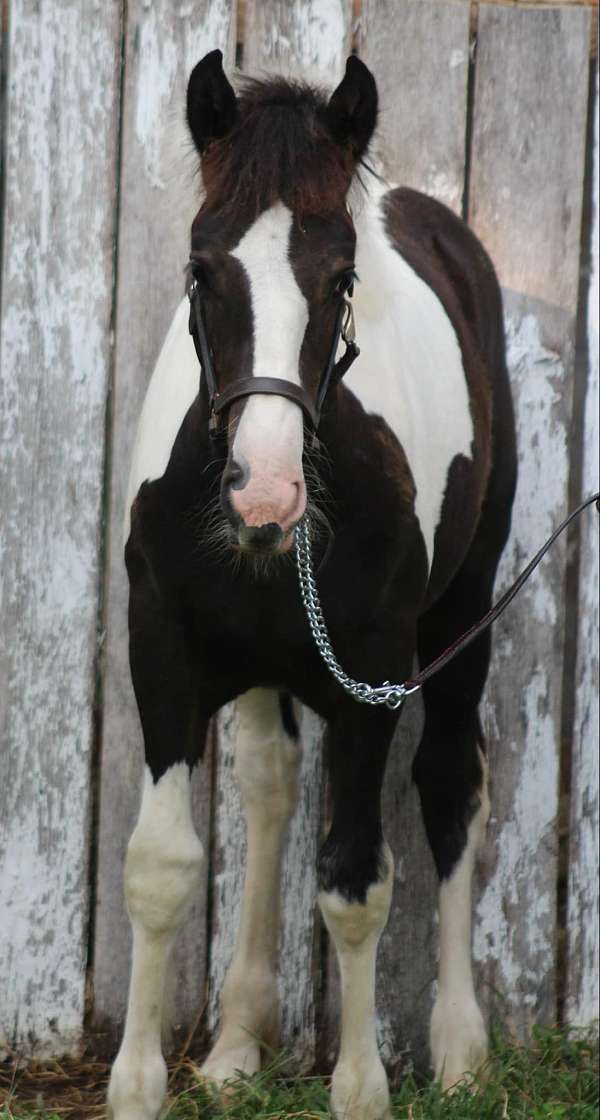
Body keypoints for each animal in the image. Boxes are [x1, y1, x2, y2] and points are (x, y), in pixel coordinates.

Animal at [106, 50, 514, 1120]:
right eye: (201, 270)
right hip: (266, 668)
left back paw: (462, 1049)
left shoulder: (370, 673)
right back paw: (238, 1039)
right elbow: (160, 867)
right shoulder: (161, 650)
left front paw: (362, 1089)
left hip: (463, 614)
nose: (266, 491)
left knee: (451, 786)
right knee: (271, 785)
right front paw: (140, 1086)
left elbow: (355, 886)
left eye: (341, 279)